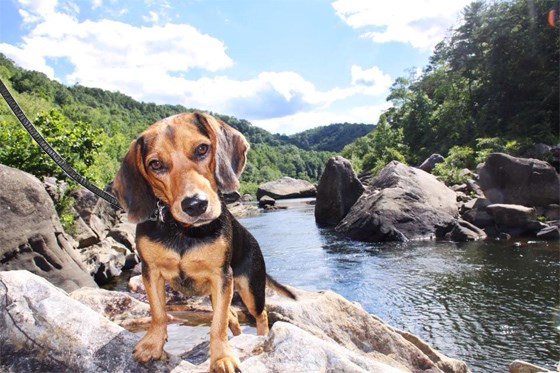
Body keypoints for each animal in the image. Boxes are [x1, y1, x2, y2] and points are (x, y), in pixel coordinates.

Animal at [112, 111, 296, 372]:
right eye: (155, 164)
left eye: (202, 149)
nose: (195, 205)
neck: (182, 231)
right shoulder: (151, 272)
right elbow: (158, 313)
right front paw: (152, 344)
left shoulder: (221, 276)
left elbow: (217, 325)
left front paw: (221, 358)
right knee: (232, 315)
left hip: (250, 289)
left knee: (260, 315)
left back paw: (260, 337)